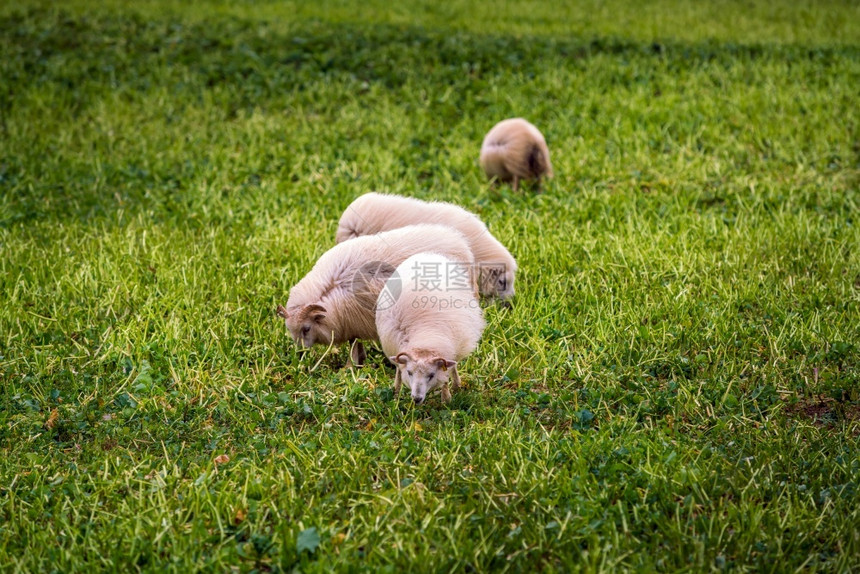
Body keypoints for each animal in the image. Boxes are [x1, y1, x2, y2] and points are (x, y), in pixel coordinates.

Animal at [278, 225, 474, 368]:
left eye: (306, 328)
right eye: (290, 329)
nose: (299, 353)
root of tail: (458, 240)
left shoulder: (354, 320)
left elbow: (353, 345)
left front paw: (349, 367)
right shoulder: (352, 323)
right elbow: (354, 342)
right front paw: (358, 362)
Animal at [374, 252, 488, 404]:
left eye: (432, 375)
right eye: (409, 373)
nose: (416, 399)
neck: (424, 338)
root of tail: (429, 254)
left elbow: (446, 376)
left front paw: (446, 399)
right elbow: (398, 372)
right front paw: (396, 395)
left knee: (453, 367)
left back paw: (457, 385)